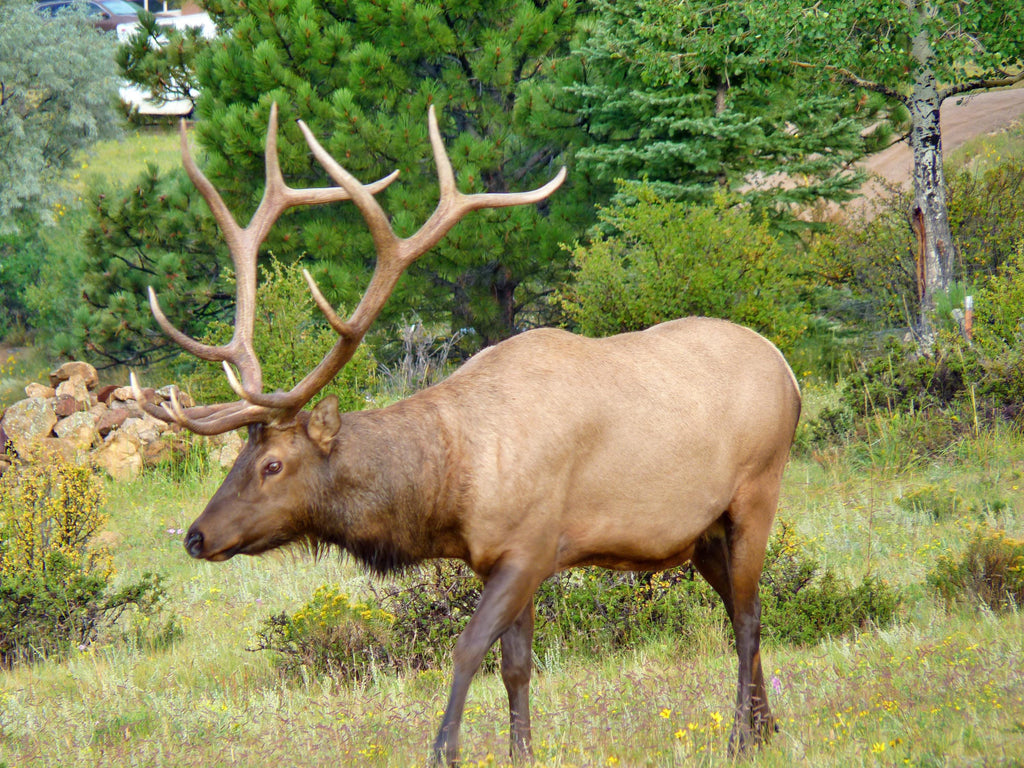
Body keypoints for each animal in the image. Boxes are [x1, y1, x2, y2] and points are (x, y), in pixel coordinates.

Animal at [132, 103, 801, 766]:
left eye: (272, 464)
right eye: (237, 460)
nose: (196, 536)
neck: (455, 484)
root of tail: (788, 371)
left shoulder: (531, 547)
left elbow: (466, 649)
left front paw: (444, 751)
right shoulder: (497, 560)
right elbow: (517, 665)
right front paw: (521, 752)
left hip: (757, 492)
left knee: (748, 615)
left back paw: (742, 736)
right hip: (702, 532)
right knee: (742, 606)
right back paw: (768, 726)